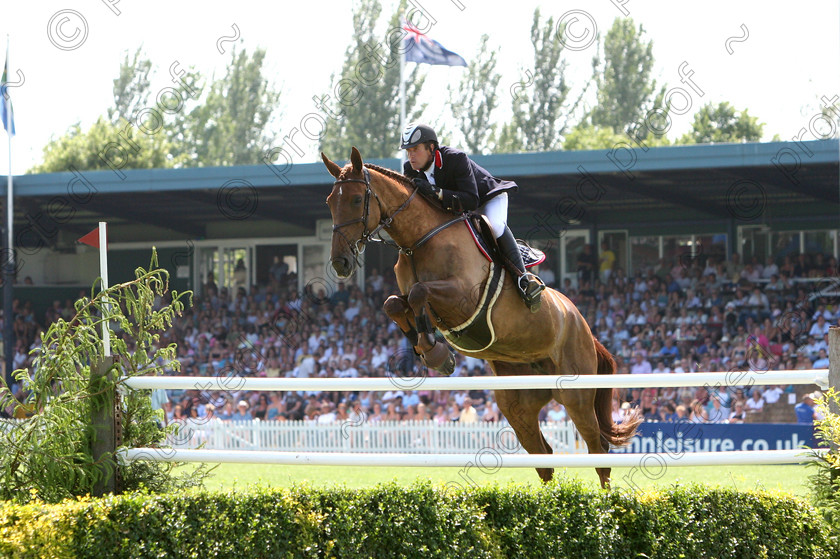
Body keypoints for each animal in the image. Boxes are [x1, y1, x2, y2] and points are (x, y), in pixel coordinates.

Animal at [322, 148, 636, 486]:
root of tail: (582, 324)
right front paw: (429, 350)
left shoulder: (463, 297)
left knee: (597, 448)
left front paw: (435, 353)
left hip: (576, 393)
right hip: (517, 402)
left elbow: (419, 292)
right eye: (330, 201)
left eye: (356, 199)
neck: (418, 240)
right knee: (543, 455)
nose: (340, 263)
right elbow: (394, 304)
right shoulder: (416, 300)